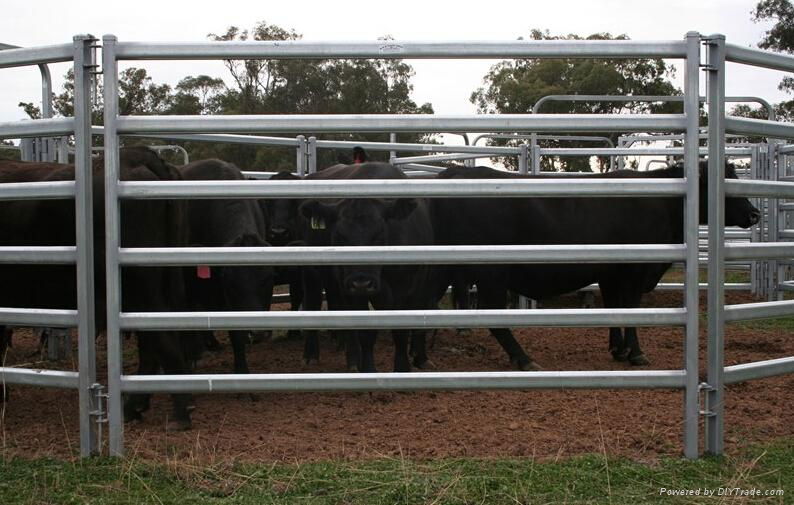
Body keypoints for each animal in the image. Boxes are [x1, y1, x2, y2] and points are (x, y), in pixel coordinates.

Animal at [298, 163, 434, 372]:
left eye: (379, 236)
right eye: (340, 237)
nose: (361, 283)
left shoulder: (409, 288)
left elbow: (401, 330)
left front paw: (402, 368)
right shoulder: (353, 290)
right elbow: (365, 332)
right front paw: (368, 369)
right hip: (315, 273)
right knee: (313, 303)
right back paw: (318, 355)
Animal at [430, 161, 756, 366]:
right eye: (724, 185)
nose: (755, 214)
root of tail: (456, 172)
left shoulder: (610, 273)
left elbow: (615, 308)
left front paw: (618, 349)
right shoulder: (635, 271)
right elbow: (631, 309)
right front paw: (636, 353)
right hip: (491, 272)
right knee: (493, 315)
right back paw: (523, 359)